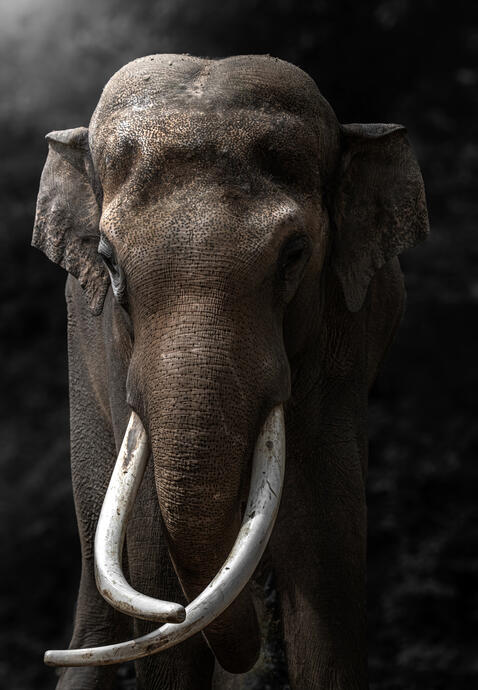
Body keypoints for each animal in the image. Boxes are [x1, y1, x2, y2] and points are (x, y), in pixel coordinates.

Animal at [32, 54, 429, 690]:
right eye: (108, 262)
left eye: (294, 255)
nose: (179, 614)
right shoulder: (109, 345)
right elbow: (149, 554)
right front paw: (172, 611)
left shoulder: (345, 342)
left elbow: (328, 552)